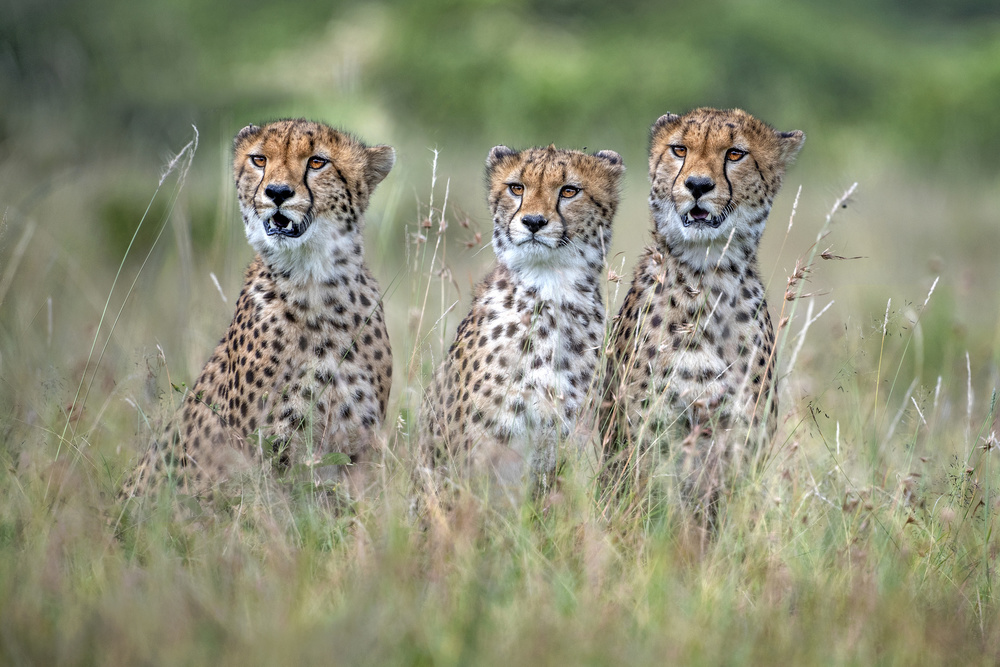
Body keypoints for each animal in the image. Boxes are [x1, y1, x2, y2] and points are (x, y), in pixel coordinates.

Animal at [120, 119, 395, 500]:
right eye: (259, 160)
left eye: (317, 162)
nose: (277, 193)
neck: (314, 282)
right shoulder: (262, 452)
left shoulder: (359, 450)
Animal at [599, 107, 804, 522]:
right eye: (679, 149)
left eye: (735, 154)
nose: (697, 185)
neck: (707, 274)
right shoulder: (648, 439)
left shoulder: (741, 440)